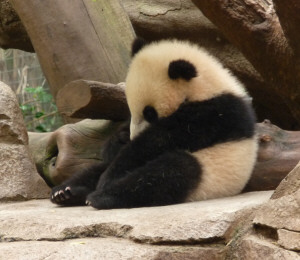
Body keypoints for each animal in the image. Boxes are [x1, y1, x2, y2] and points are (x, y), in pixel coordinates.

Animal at [51, 38, 258, 209]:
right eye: (130, 108)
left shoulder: (213, 114)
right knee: (94, 170)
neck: (206, 88)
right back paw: (67, 192)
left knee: (170, 172)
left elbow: (158, 141)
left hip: (209, 175)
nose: (132, 136)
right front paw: (119, 139)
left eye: (149, 113)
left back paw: (103, 196)